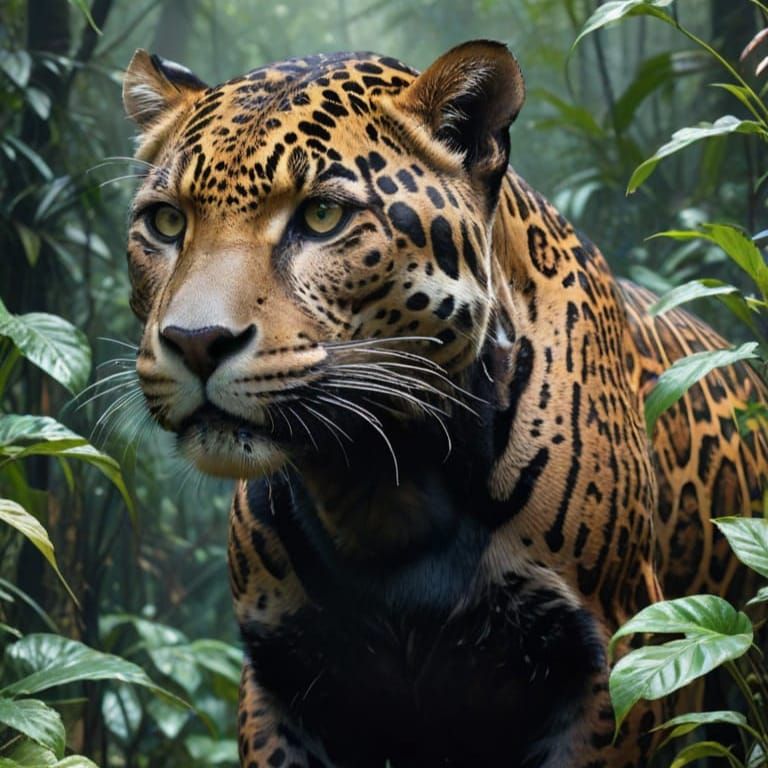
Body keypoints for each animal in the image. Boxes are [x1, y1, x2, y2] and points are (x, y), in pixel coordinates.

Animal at [121, 40, 768, 767]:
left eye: (321, 217)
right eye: (166, 222)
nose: (195, 341)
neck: (379, 485)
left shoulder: (619, 663)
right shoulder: (280, 679)